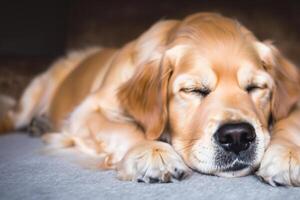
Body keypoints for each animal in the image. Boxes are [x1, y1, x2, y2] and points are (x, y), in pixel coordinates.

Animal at [0, 13, 300, 187]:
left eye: (256, 87)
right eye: (193, 90)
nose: (237, 136)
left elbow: (289, 123)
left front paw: (287, 154)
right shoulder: (87, 111)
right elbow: (129, 128)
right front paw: (153, 152)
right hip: (32, 95)